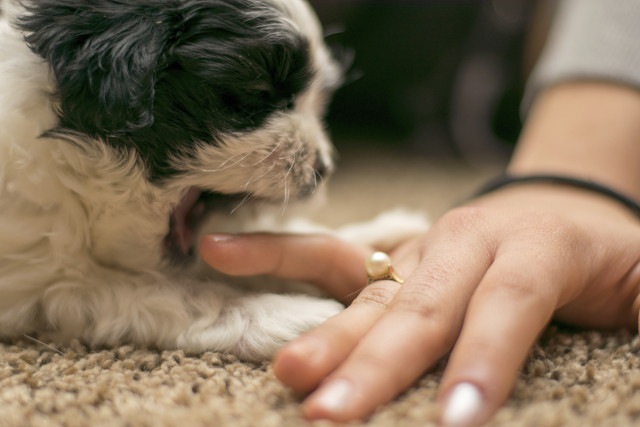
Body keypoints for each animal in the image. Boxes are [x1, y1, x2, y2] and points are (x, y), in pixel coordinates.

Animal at [1, 0, 430, 362]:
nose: (324, 167)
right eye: (256, 91)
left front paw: (378, 235)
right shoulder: (36, 281)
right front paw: (284, 313)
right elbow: (160, 292)